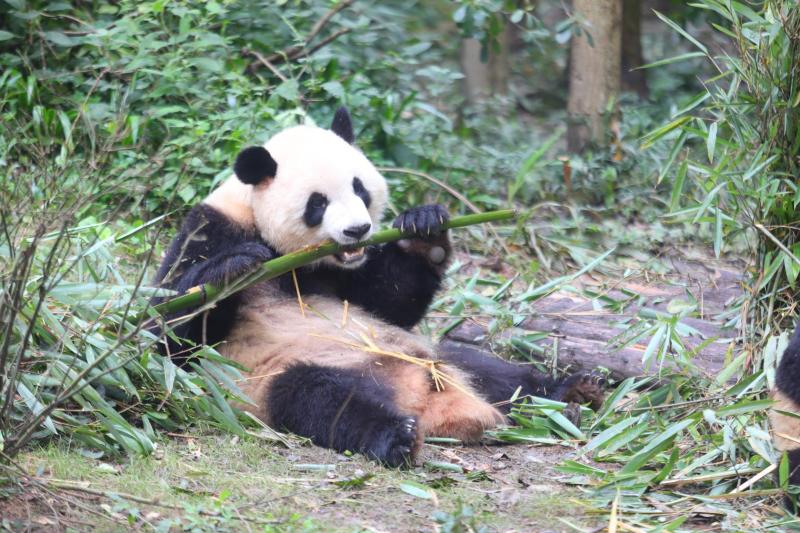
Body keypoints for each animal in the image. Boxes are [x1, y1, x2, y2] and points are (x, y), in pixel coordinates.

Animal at [156, 106, 604, 464]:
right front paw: (233, 269)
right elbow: (172, 340)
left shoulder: (344, 275)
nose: (358, 230)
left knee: (496, 373)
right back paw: (396, 437)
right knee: (323, 400)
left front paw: (424, 228)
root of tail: (433, 403)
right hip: (279, 375)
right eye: (317, 203)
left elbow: (388, 301)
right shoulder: (210, 229)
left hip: (433, 355)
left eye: (360, 188)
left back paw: (573, 390)